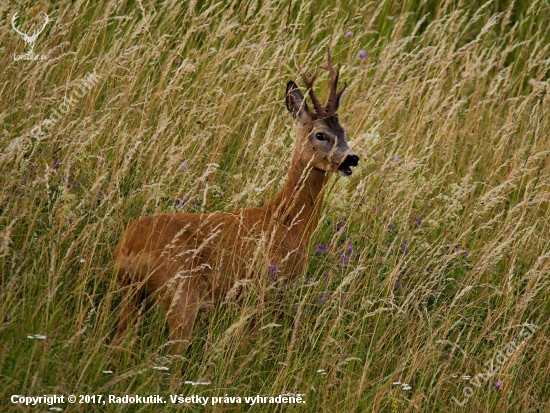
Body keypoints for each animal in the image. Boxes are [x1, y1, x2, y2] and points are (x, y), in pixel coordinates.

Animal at [114, 50, 360, 352]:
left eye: (344, 131)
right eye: (320, 134)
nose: (351, 158)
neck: (287, 221)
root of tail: (130, 244)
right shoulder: (265, 287)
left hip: (132, 294)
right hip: (182, 293)